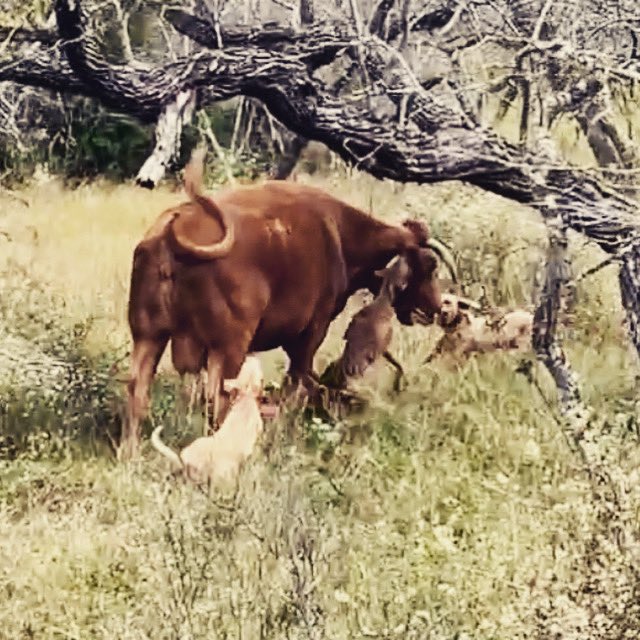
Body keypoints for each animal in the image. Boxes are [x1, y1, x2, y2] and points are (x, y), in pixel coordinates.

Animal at [122, 149, 456, 459]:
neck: (340, 234)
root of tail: (169, 237)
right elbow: (300, 380)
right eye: (429, 266)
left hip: (148, 336)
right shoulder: (313, 329)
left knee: (137, 391)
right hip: (227, 347)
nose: (437, 308)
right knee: (219, 397)